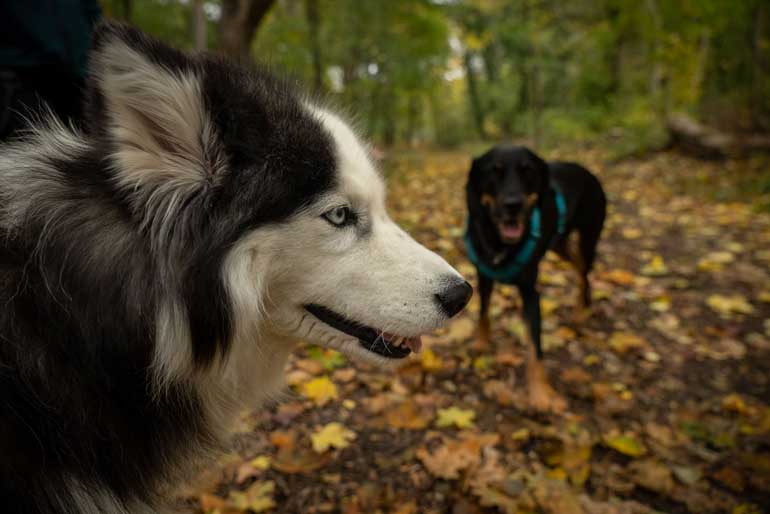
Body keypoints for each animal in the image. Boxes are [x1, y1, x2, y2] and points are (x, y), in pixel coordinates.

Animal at [462, 145, 608, 412]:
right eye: (493, 172)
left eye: (527, 171)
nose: (513, 205)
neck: (501, 246)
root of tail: (586, 171)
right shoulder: (484, 277)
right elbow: (483, 314)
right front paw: (481, 345)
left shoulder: (531, 293)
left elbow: (534, 346)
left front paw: (540, 393)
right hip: (560, 244)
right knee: (578, 265)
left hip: (589, 238)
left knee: (584, 274)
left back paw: (581, 312)